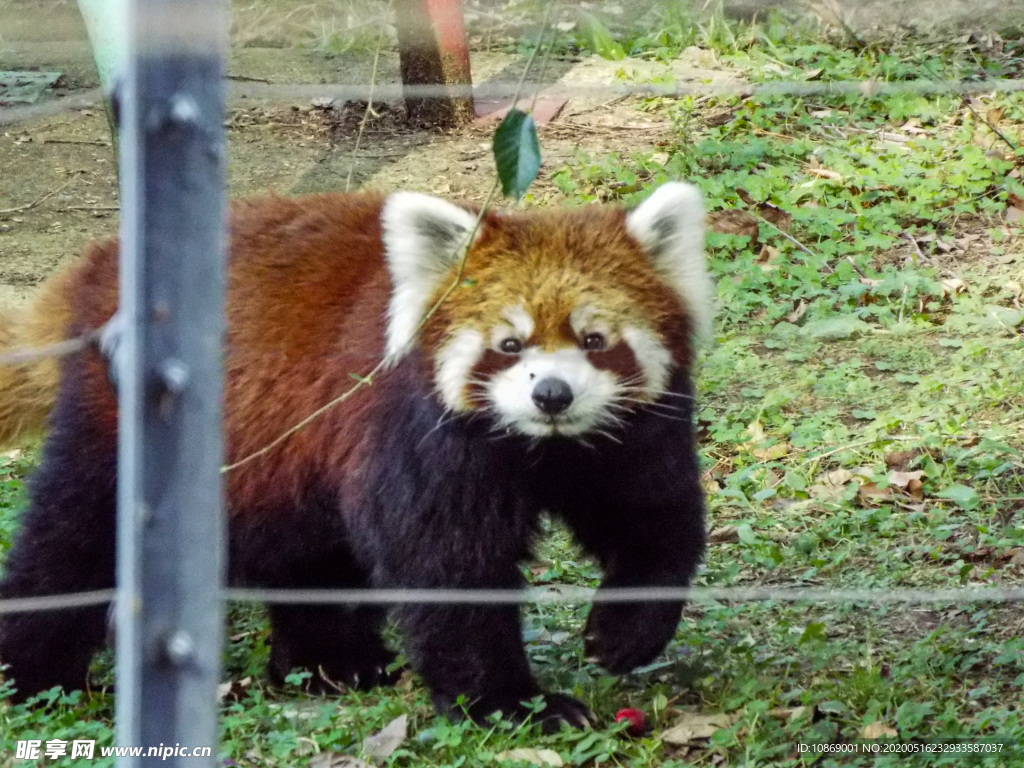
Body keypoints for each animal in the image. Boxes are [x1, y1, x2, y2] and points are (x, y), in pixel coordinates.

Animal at [0, 183, 712, 729]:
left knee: (306, 553)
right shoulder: (417, 434)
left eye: (594, 340)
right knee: (75, 538)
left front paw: (624, 632)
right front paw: (511, 704)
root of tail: (99, 264)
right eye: (509, 345)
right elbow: (446, 565)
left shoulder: (626, 438)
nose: (552, 394)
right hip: (123, 422)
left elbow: (654, 517)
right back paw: (33, 675)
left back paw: (332, 662)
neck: (541, 447)